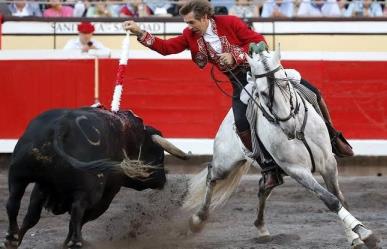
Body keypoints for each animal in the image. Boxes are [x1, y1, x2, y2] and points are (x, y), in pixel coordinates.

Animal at [1, 107, 189, 249]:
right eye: (159, 156)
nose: (163, 180)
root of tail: (61, 126)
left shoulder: (41, 186)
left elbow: (32, 216)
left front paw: (18, 239)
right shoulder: (108, 194)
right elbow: (81, 218)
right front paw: (68, 242)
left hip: (18, 174)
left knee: (13, 202)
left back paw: (11, 238)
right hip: (92, 188)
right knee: (77, 210)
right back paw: (75, 243)